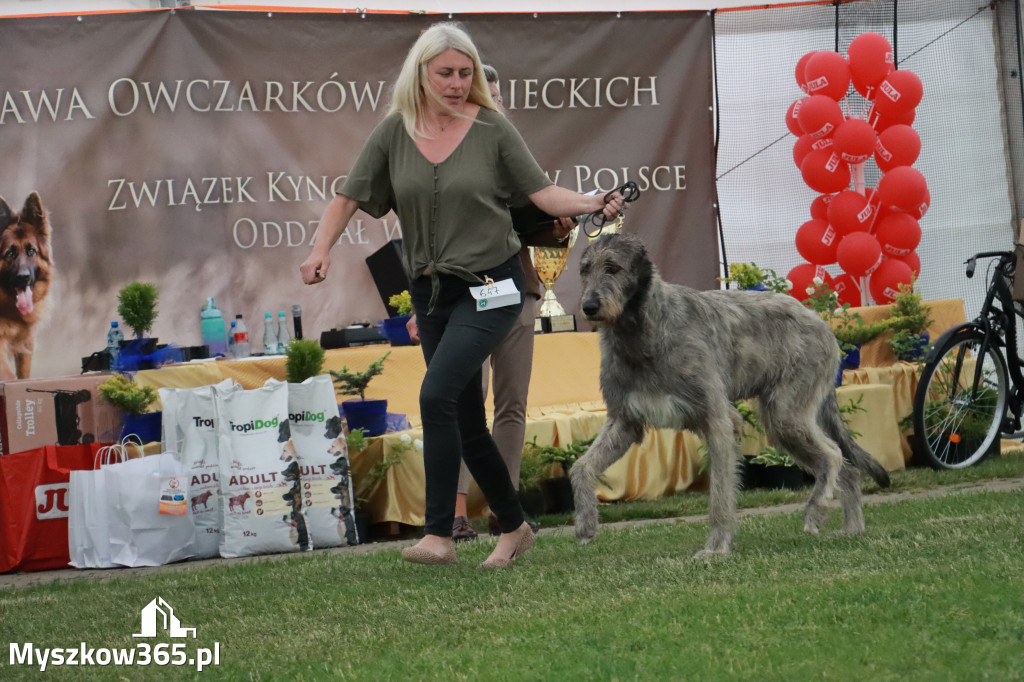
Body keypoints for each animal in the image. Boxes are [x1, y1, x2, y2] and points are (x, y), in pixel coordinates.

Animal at [569, 231, 888, 557]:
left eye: (613, 268)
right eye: (584, 270)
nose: (589, 306)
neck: (644, 333)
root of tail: (817, 317)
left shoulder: (719, 422)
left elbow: (720, 493)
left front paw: (716, 548)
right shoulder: (624, 421)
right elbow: (580, 467)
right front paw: (585, 524)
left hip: (786, 415)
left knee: (833, 455)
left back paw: (817, 509)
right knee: (847, 470)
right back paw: (850, 527)